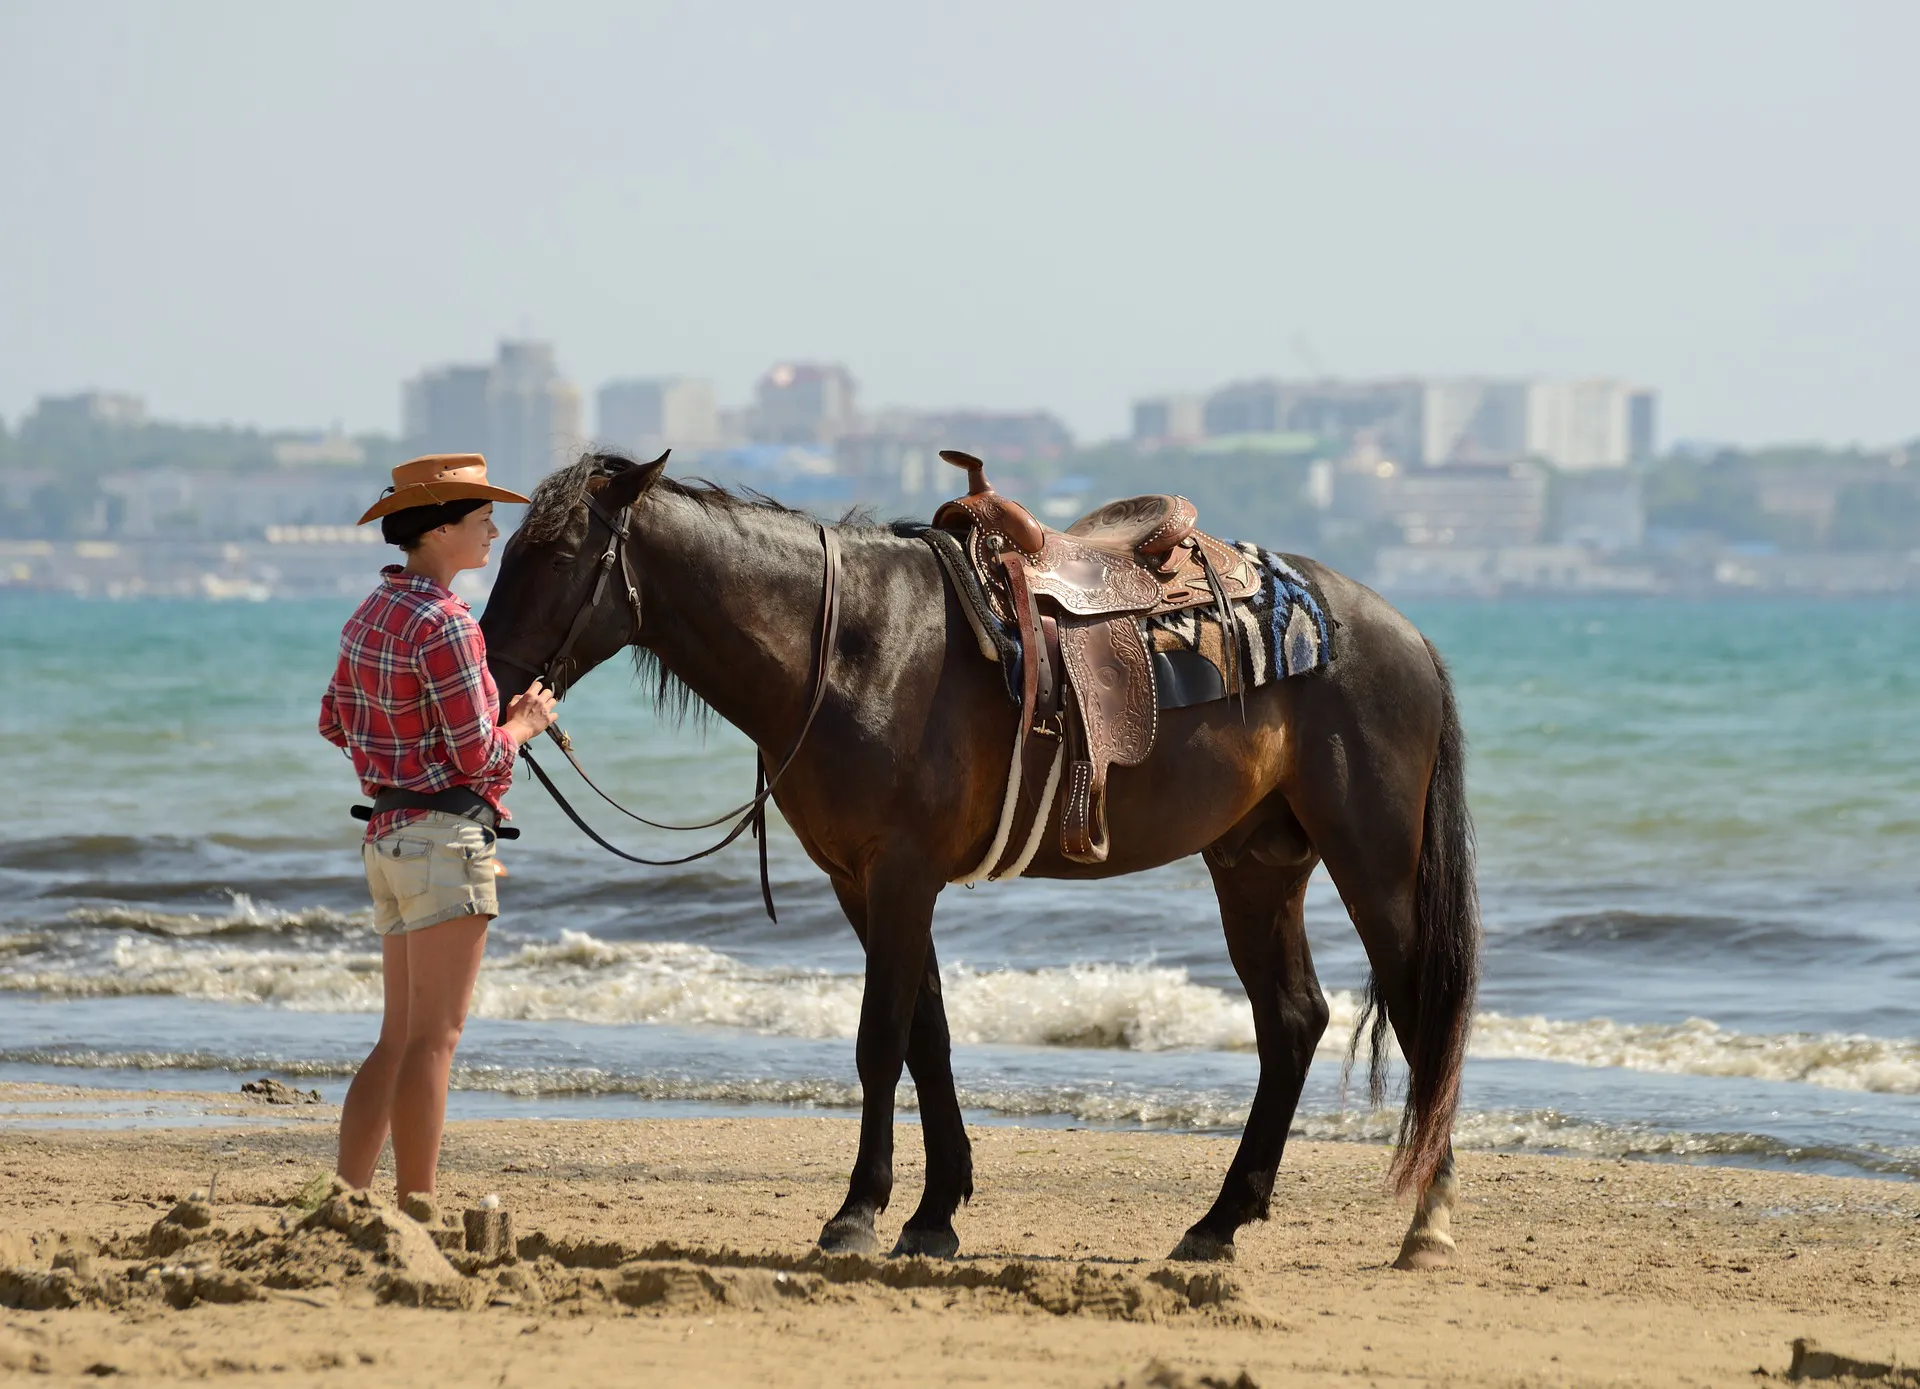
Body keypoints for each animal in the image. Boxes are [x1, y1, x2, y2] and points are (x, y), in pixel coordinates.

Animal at [480, 453, 1482, 1267]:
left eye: (559, 554)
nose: (489, 673)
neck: (852, 647)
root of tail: (1403, 633)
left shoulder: (900, 874)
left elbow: (881, 1036)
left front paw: (859, 1211)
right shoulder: (864, 882)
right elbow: (928, 1034)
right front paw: (934, 1213)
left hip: (1373, 861)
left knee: (1419, 1010)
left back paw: (1428, 1222)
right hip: (1255, 864)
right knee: (1293, 1021)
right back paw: (1218, 1222)